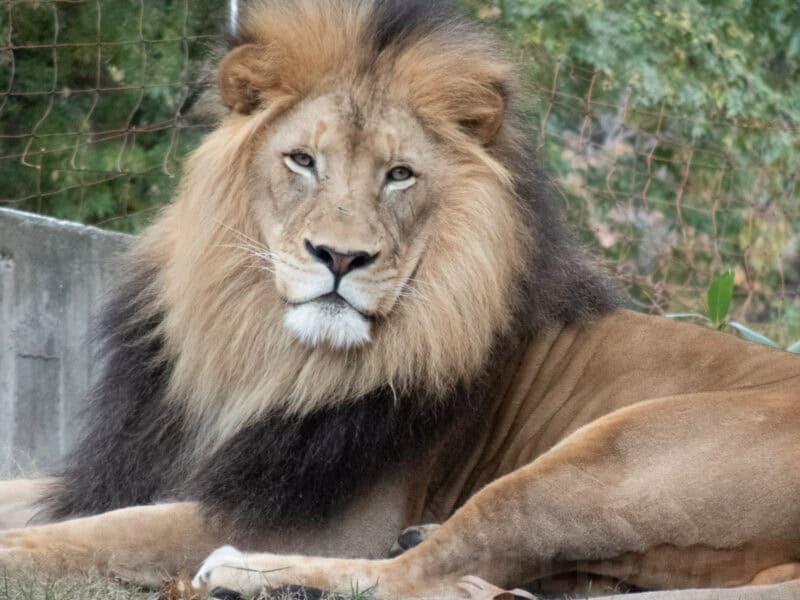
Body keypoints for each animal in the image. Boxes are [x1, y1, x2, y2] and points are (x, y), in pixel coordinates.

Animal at [1, 1, 799, 599]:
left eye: (400, 175)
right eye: (302, 160)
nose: (340, 257)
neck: (257, 357)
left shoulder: (313, 515)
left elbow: (102, 534)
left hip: (611, 454)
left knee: (427, 574)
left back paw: (246, 571)